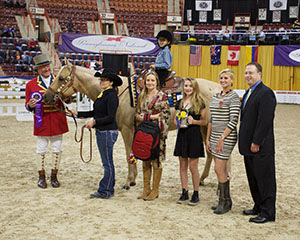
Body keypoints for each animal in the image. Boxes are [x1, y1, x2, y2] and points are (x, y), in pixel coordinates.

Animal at [43, 63, 224, 189]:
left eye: (61, 78)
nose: (46, 96)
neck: (119, 93)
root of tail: (217, 88)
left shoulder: (127, 130)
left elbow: (129, 154)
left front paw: (129, 181)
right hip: (204, 127)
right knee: (210, 153)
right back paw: (202, 179)